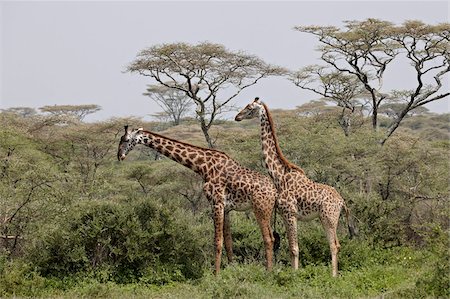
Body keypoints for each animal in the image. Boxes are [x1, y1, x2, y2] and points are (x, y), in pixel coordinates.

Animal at [116, 125, 278, 276]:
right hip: (266, 209)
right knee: (272, 238)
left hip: (260, 208)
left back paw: (269, 272)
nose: (120, 156)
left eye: (126, 139)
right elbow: (228, 242)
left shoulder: (216, 202)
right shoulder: (226, 208)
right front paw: (231, 269)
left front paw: (216, 275)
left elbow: (217, 241)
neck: (202, 166)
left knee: (268, 238)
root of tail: (274, 191)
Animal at [234, 98, 356, 276]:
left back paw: (333, 277)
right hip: (327, 218)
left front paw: (294, 275)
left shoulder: (290, 213)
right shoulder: (286, 215)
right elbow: (292, 248)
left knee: (333, 245)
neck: (279, 176)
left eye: (249, 108)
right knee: (337, 244)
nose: (237, 117)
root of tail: (342, 202)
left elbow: (294, 248)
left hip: (329, 218)